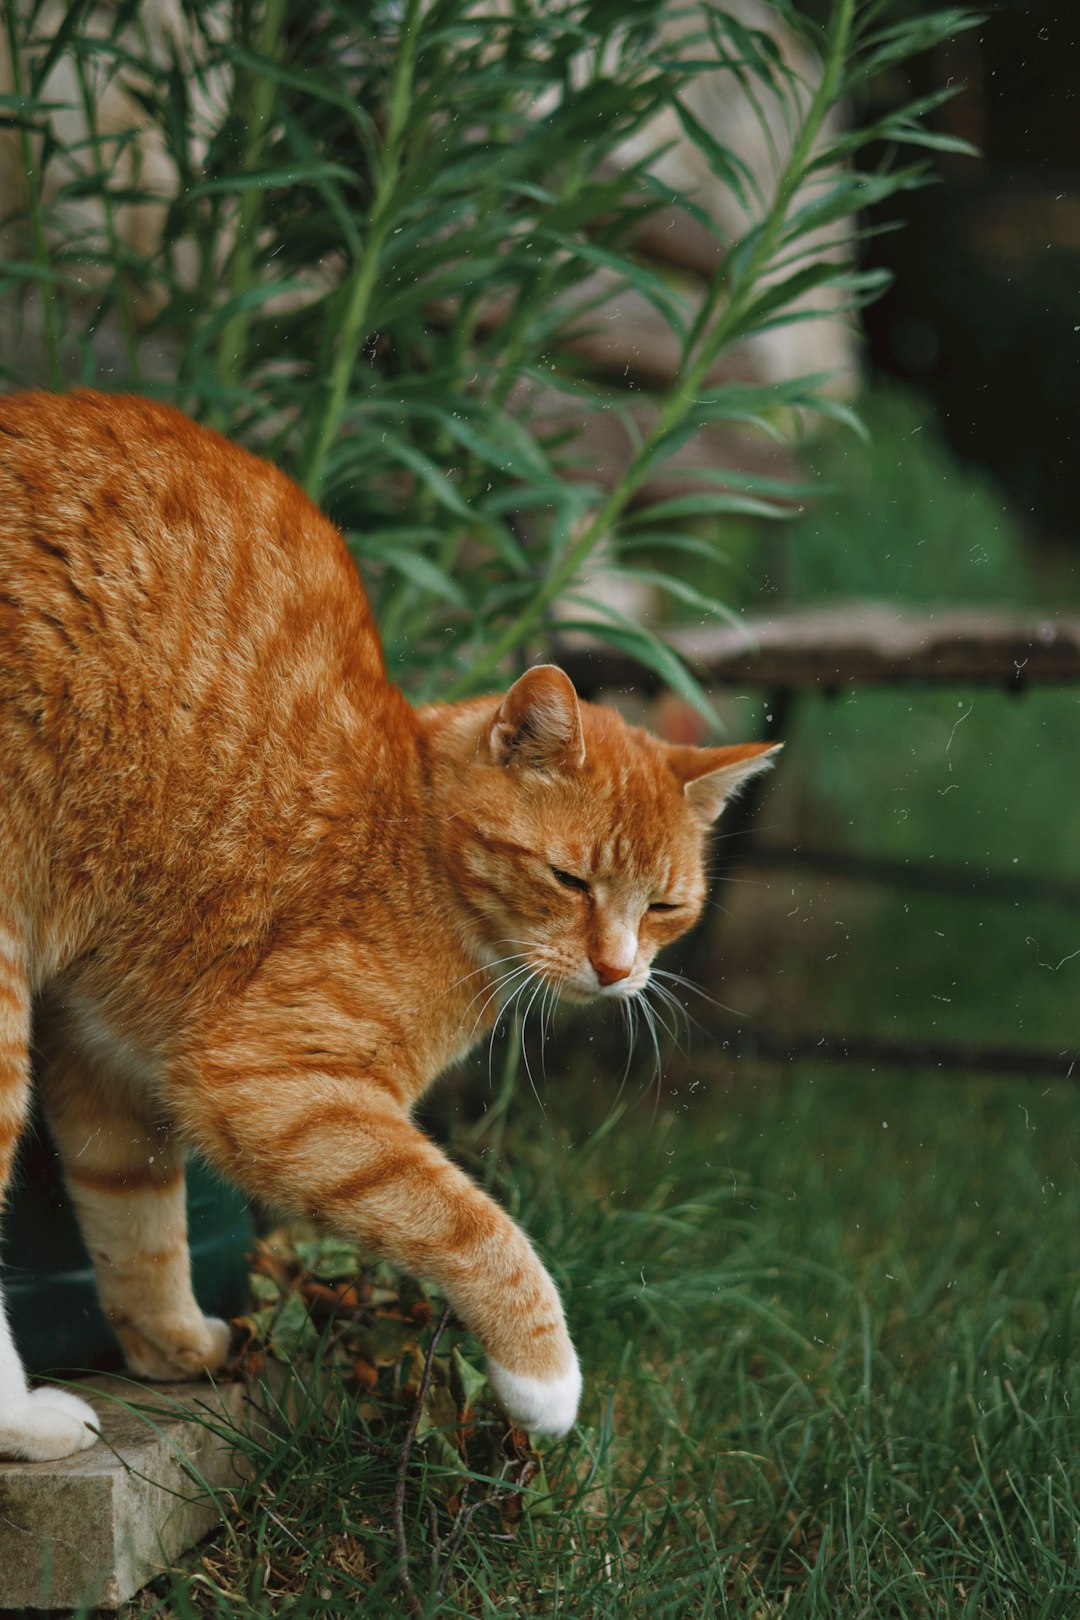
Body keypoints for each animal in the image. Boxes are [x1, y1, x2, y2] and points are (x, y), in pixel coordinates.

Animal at [0, 388, 777, 1458]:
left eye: (665, 906)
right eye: (569, 880)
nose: (619, 970)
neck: (414, 836)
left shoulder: (108, 1060)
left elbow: (137, 1223)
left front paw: (169, 1344)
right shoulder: (277, 1085)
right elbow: (469, 1223)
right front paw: (545, 1378)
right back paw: (23, 1419)